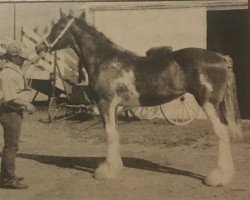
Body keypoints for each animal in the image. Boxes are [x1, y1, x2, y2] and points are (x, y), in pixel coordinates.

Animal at [35, 10, 242, 187]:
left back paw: (218, 178)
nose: (39, 48)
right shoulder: (115, 106)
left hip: (208, 103)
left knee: (221, 132)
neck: (104, 59)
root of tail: (220, 58)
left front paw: (107, 172)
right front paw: (114, 167)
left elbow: (109, 135)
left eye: (58, 27)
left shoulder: (105, 104)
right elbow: (115, 134)